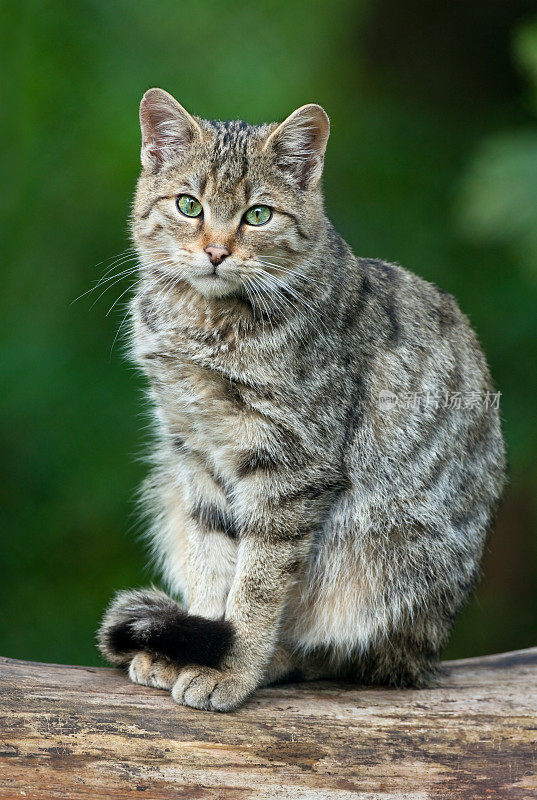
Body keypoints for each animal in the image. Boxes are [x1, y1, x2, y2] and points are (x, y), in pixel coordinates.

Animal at [97, 89, 506, 712]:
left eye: (258, 215)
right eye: (189, 206)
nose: (215, 251)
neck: (206, 325)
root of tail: (429, 654)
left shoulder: (291, 469)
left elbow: (257, 587)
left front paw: (231, 667)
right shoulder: (194, 456)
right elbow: (212, 566)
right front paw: (200, 642)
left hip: (385, 557)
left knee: (343, 655)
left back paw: (274, 661)